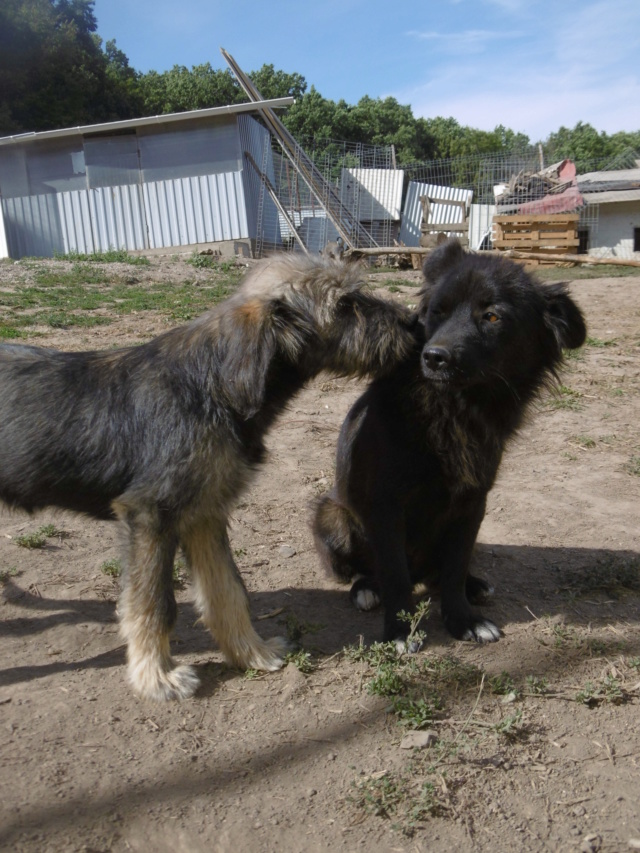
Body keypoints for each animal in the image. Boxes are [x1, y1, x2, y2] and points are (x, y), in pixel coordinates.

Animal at [0, 255, 416, 700]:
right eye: (344, 304)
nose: (412, 323)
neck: (213, 383)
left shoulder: (205, 514)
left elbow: (228, 591)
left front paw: (251, 652)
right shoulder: (149, 515)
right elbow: (154, 604)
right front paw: (155, 676)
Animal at [312, 236, 588, 648]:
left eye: (492, 317)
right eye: (437, 312)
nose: (433, 357)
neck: (456, 407)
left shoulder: (473, 501)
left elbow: (455, 567)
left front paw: (463, 619)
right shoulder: (386, 504)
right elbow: (395, 574)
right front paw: (399, 629)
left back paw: (473, 585)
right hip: (331, 515)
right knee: (369, 569)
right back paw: (366, 589)